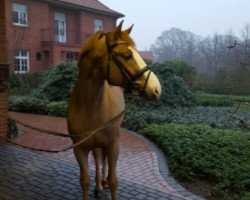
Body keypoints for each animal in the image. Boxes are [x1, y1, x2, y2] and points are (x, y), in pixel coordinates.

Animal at [67, 20, 160, 200]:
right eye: (127, 55)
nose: (156, 89)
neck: (91, 107)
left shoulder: (113, 145)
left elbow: (113, 181)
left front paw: (106, 182)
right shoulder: (79, 148)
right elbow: (84, 181)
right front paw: (94, 185)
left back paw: (102, 182)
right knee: (98, 157)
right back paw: (98, 186)